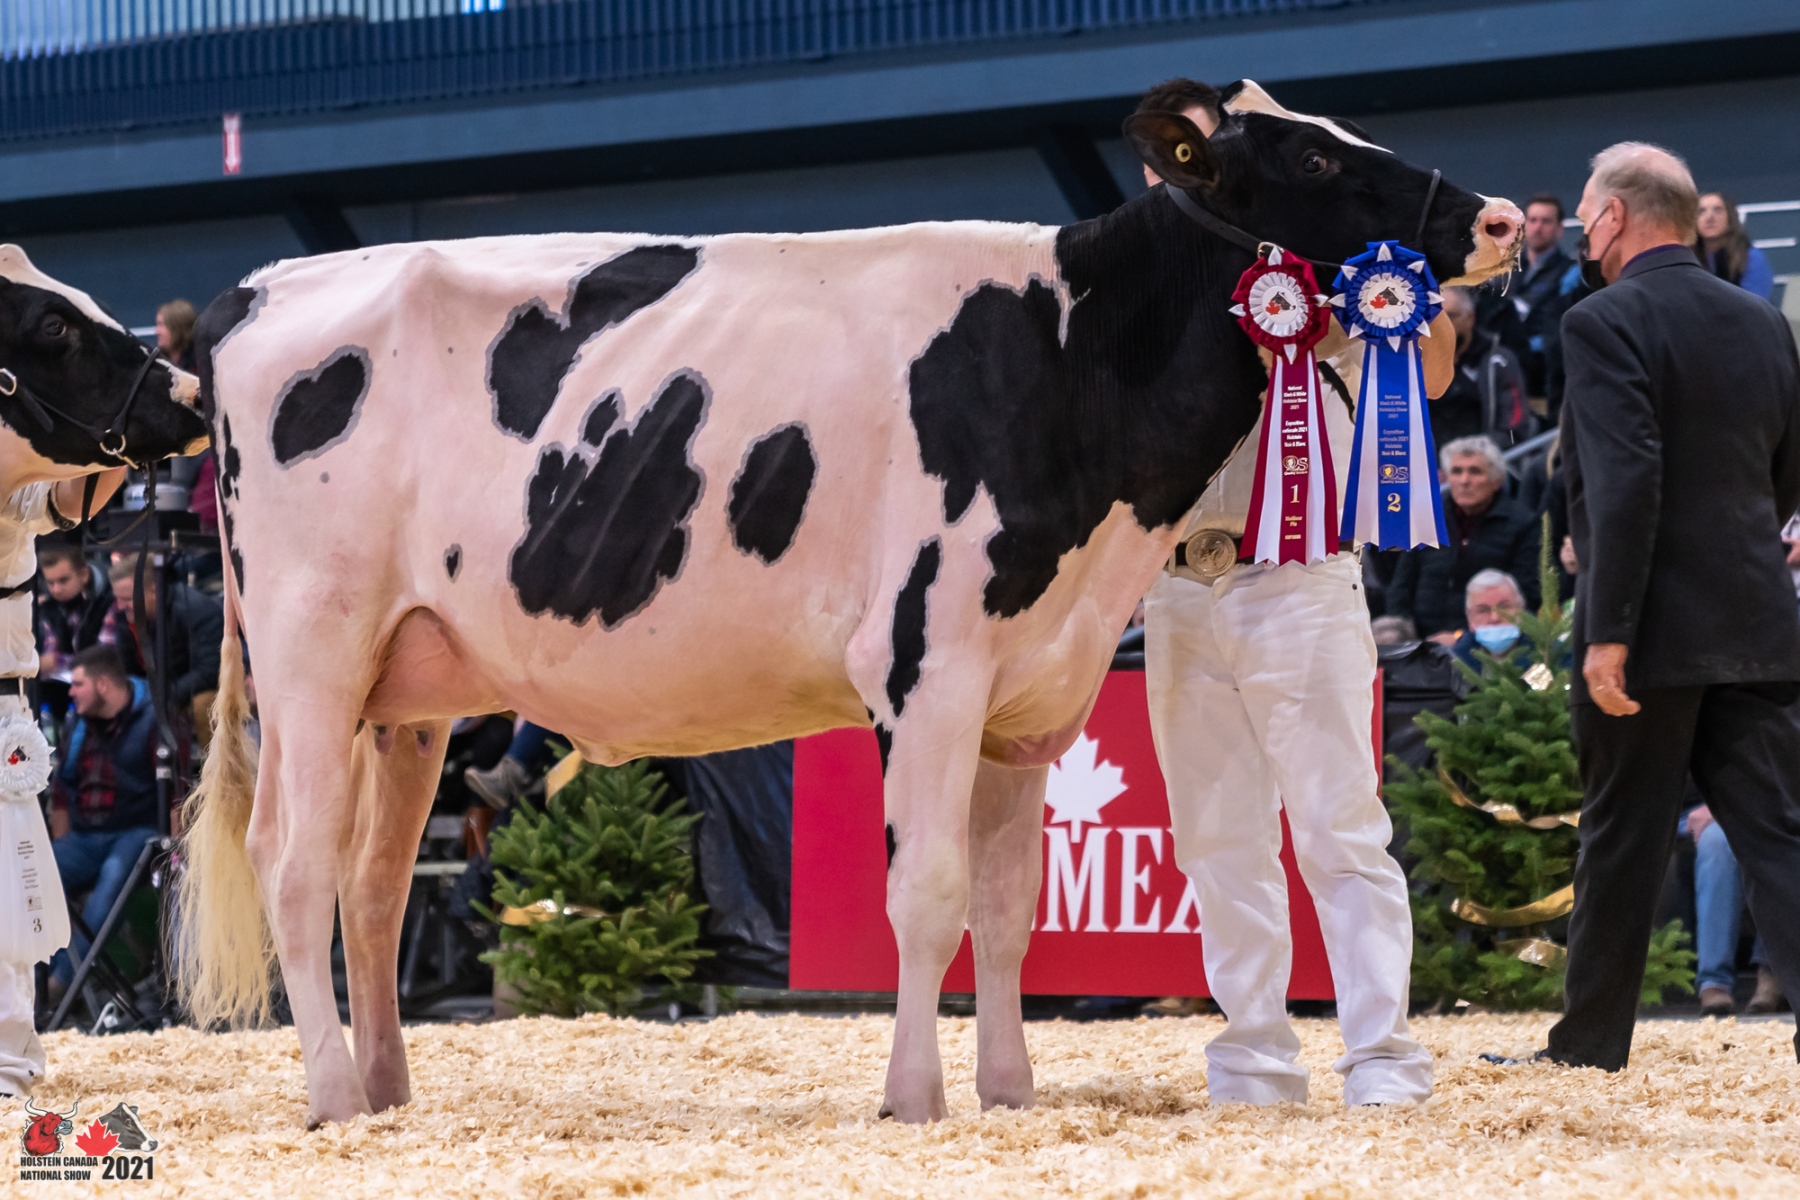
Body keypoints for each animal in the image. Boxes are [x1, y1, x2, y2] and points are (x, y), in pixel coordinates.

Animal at [176, 80, 1521, 1128]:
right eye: (1312, 156)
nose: (1501, 214)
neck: (1070, 356)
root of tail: (257, 288)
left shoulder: (1033, 690)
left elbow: (1009, 909)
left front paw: (1010, 1091)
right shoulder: (929, 662)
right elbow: (924, 897)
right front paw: (914, 1099)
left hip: (406, 689)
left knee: (373, 884)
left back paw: (387, 1091)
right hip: (309, 653)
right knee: (293, 859)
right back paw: (332, 1098)